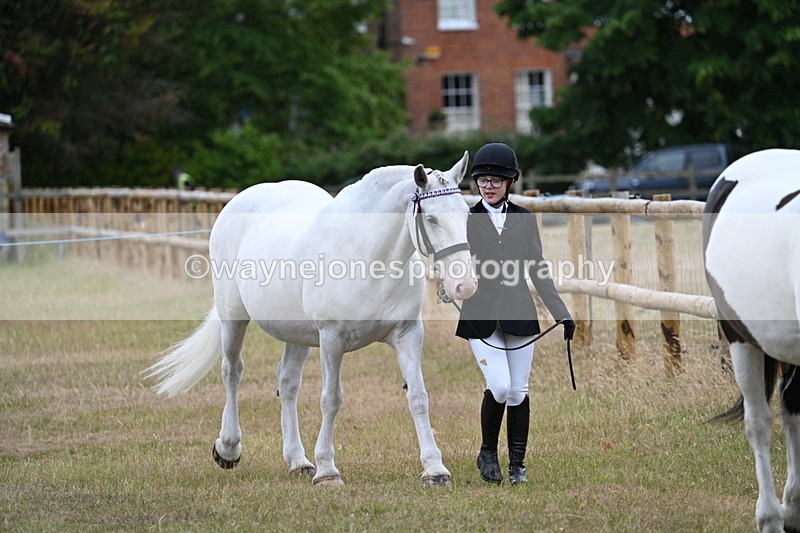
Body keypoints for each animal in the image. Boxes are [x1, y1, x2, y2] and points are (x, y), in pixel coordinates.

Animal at [146, 153, 478, 487]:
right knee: (232, 372)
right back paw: (228, 448)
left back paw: (297, 460)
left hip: (298, 334)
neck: (368, 258)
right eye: (432, 219)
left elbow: (419, 397)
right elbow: (331, 399)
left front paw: (435, 469)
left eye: (466, 215)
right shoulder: (332, 339)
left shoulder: (408, 334)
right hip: (234, 317)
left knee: (287, 382)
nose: (464, 286)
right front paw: (328, 471)